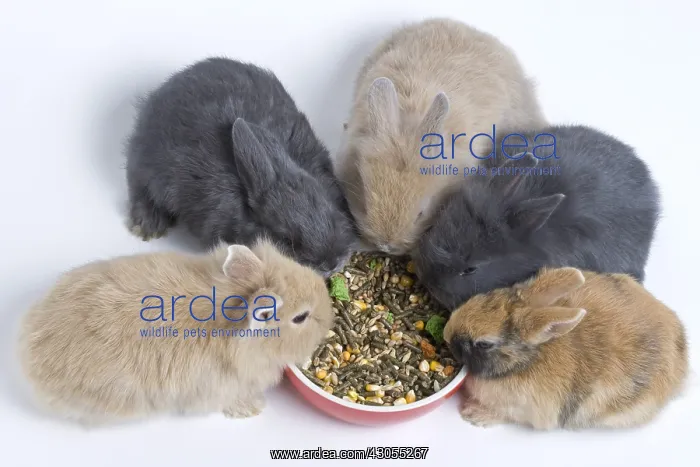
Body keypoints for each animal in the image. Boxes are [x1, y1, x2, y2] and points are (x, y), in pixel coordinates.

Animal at [125, 57, 356, 277]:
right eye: (285, 240)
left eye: (332, 214)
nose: (332, 263)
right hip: (147, 163)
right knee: (138, 184)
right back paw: (148, 225)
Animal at [444, 267, 689, 430]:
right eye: (485, 296)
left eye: (484, 344)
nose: (446, 333)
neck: (527, 359)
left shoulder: (525, 410)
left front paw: (473, 414)